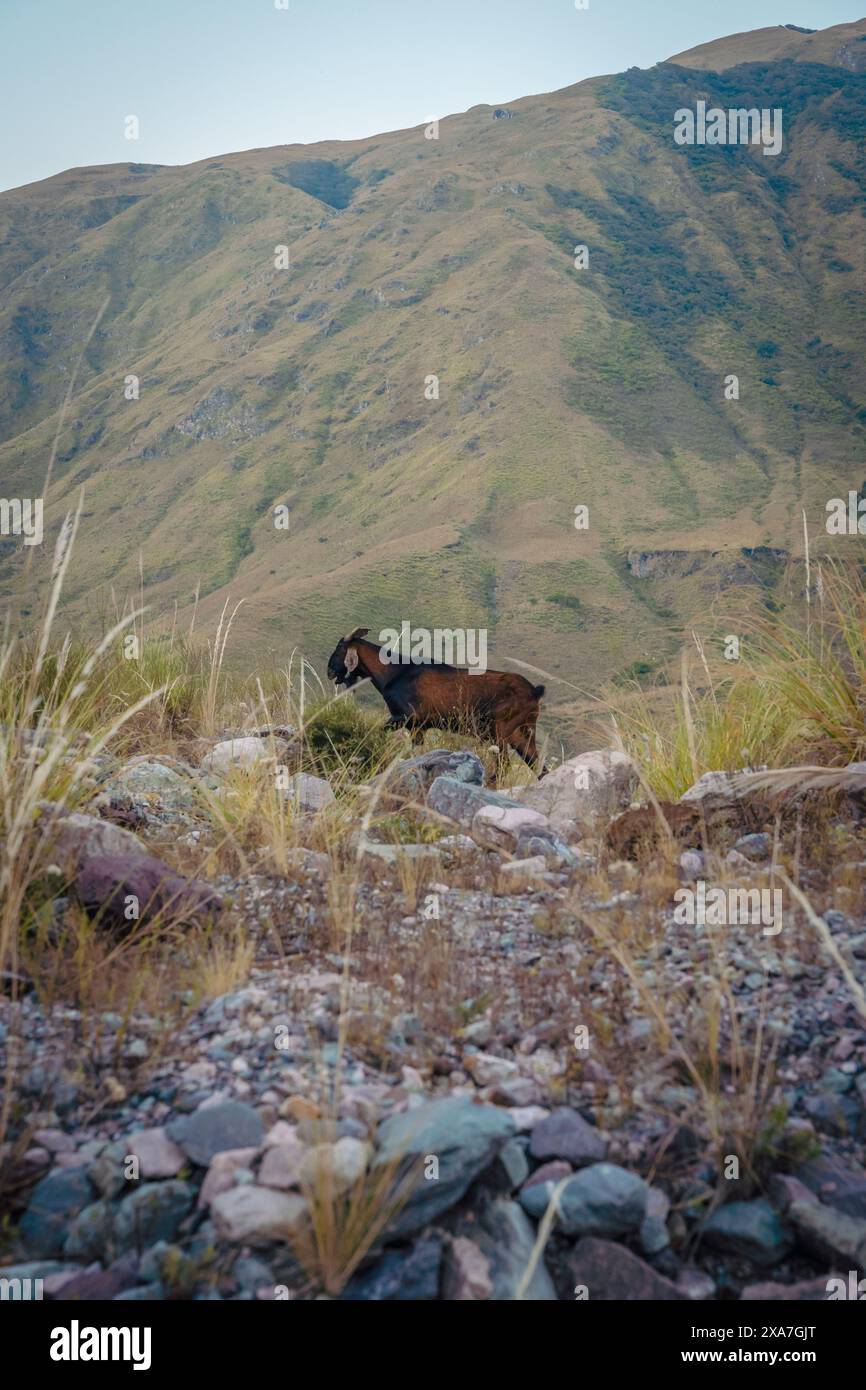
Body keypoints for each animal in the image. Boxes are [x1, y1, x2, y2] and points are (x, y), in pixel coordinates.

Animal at [328, 631, 544, 772]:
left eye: (339, 648)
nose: (329, 671)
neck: (394, 673)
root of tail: (534, 692)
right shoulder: (417, 726)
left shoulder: (409, 719)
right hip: (521, 734)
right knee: (537, 766)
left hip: (501, 731)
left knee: (504, 766)